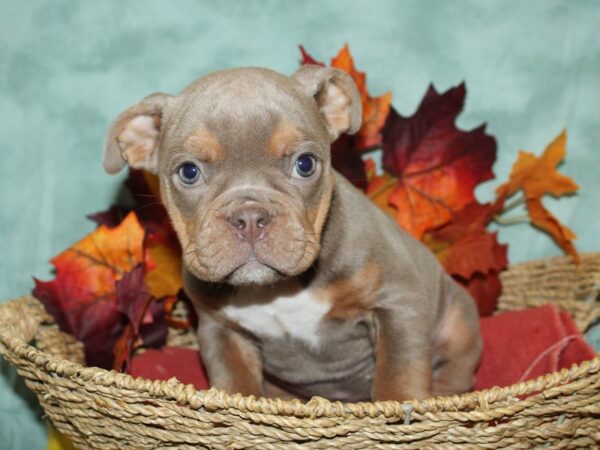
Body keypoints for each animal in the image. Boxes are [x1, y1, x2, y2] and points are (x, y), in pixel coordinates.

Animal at [101, 66, 480, 400]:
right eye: (189, 172)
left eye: (305, 164)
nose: (249, 216)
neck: (276, 288)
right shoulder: (221, 330)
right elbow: (236, 383)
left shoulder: (396, 302)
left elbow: (399, 374)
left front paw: (399, 408)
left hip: (459, 324)